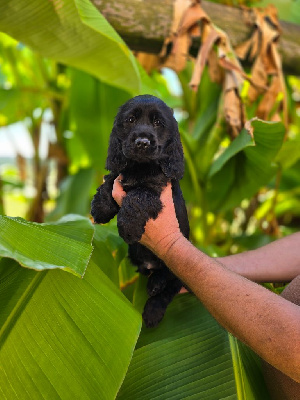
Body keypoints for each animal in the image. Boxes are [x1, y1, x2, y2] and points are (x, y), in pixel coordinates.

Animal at [91, 94, 190, 328]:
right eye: (130, 120)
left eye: (158, 123)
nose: (142, 142)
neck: (139, 166)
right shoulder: (120, 173)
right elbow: (110, 182)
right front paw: (100, 208)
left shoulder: (155, 189)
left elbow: (137, 196)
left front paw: (128, 228)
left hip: (178, 269)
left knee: (169, 285)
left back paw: (153, 303)